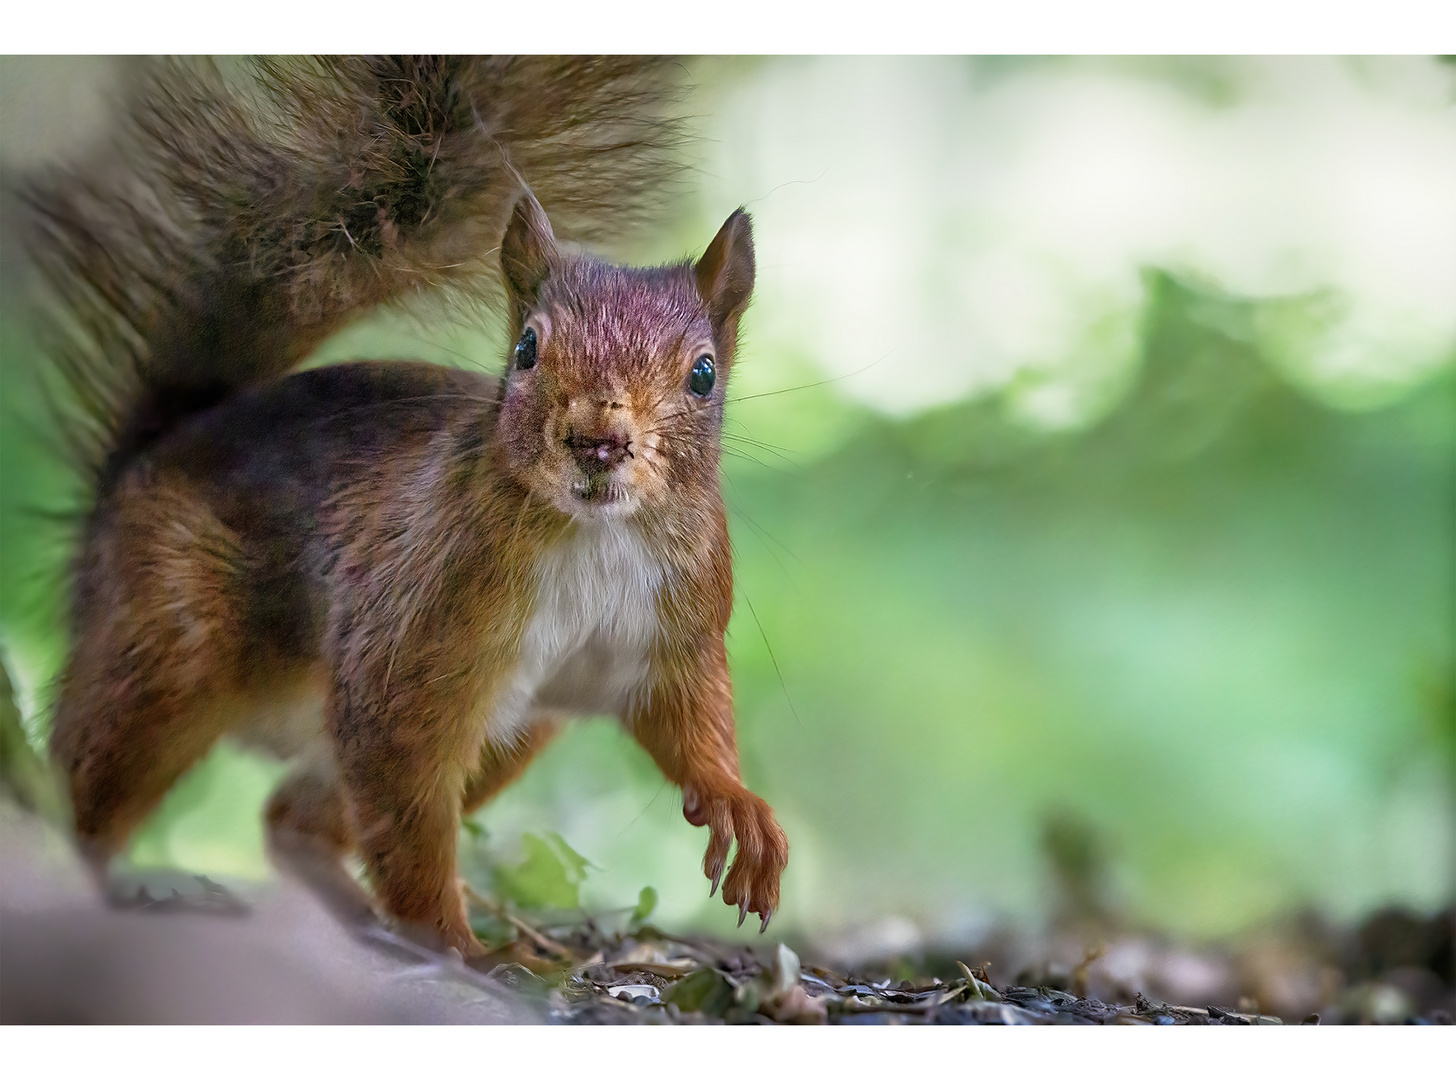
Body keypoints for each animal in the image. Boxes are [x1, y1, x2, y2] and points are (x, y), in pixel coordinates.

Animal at [19, 54, 786, 960]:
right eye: (526, 349)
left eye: (703, 374)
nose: (596, 439)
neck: (594, 537)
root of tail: (144, 460)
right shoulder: (408, 633)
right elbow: (408, 805)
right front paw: (454, 944)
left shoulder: (674, 631)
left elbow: (687, 722)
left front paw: (736, 803)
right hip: (166, 646)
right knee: (85, 790)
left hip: (512, 729)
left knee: (292, 817)